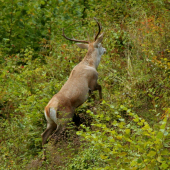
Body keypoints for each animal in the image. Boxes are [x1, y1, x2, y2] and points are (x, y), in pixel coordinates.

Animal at [41, 18, 105, 161]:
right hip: (65, 118)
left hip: (50, 122)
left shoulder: (89, 90)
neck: (90, 64)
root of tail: (48, 109)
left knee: (44, 135)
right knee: (54, 137)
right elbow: (100, 88)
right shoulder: (92, 83)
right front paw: (102, 103)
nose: (105, 49)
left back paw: (44, 158)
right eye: (99, 45)